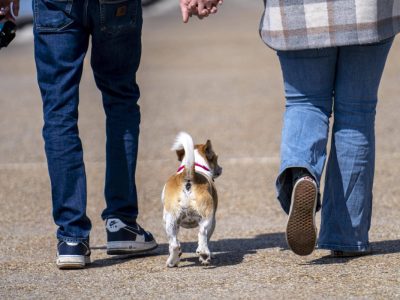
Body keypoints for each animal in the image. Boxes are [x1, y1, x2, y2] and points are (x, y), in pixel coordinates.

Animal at [161, 132, 222, 268]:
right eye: (215, 158)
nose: (221, 169)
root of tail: (188, 175)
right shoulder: (214, 222)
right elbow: (206, 238)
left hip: (170, 221)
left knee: (174, 244)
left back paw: (172, 261)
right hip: (207, 218)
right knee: (202, 234)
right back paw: (204, 255)